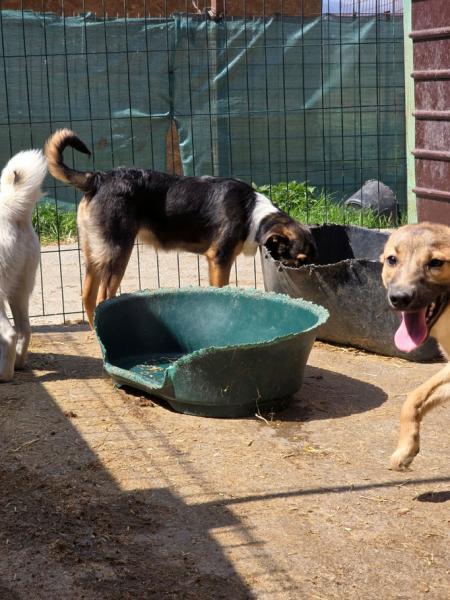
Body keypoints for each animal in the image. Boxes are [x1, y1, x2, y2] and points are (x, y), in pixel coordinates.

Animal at [45, 129, 316, 327]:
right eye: (296, 261)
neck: (252, 214)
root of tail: (97, 178)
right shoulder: (220, 258)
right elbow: (221, 288)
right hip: (118, 251)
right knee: (102, 298)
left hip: (94, 254)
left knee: (88, 297)